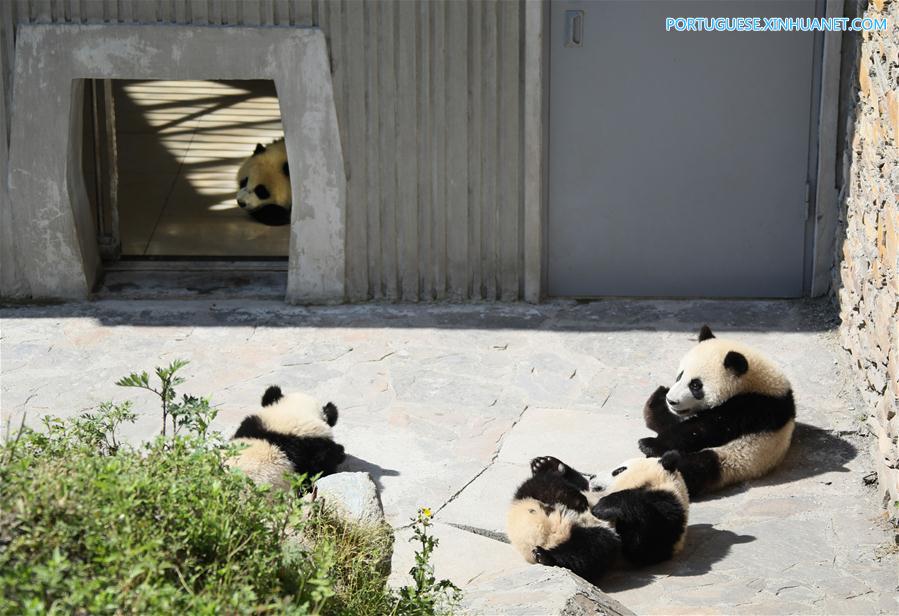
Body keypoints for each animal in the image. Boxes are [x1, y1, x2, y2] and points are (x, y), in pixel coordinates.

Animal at [506, 452, 688, 581]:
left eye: (618, 470)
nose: (593, 476)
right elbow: (580, 484)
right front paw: (546, 463)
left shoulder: (668, 510)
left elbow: (644, 543)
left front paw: (605, 506)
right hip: (530, 498)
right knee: (543, 484)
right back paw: (567, 492)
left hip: (593, 535)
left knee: (590, 549)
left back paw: (545, 556)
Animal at [639, 325, 796, 498]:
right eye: (680, 376)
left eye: (695, 386)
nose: (671, 400)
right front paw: (659, 400)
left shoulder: (753, 408)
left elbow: (703, 429)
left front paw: (649, 444)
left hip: (736, 459)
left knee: (696, 467)